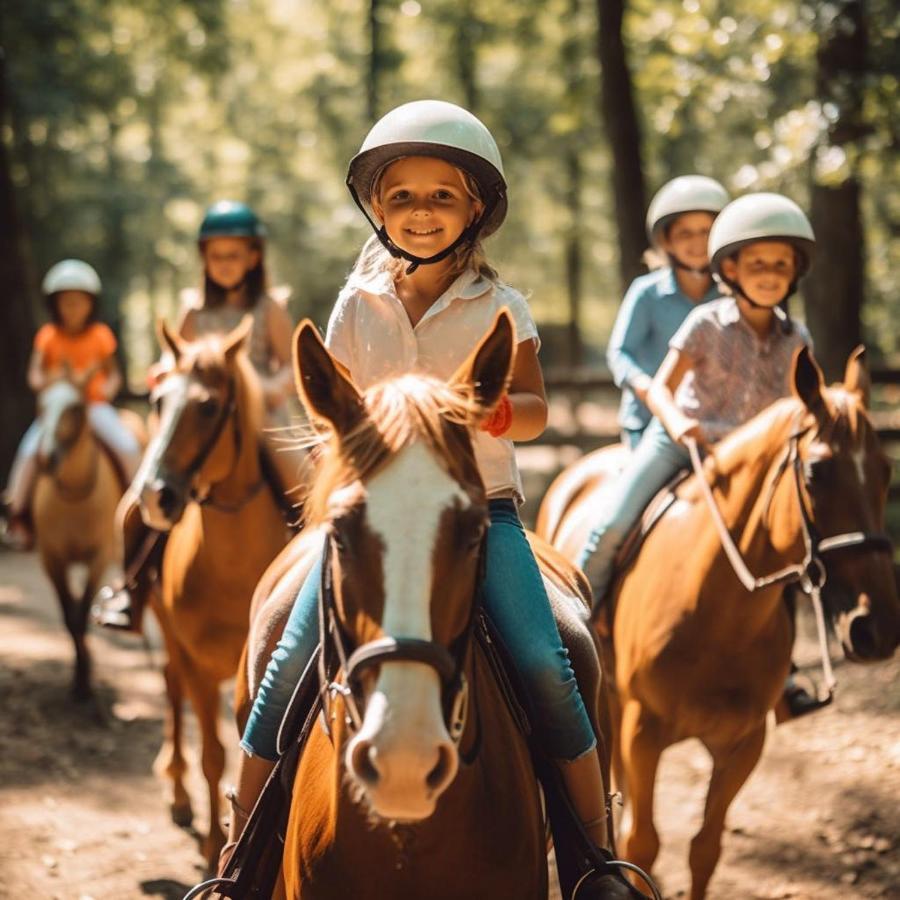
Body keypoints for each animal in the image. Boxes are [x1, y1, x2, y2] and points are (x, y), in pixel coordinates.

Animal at [31, 370, 145, 700]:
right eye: (41, 404)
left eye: (75, 409)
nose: (47, 458)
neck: (74, 498)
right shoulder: (51, 558)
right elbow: (70, 617)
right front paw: (81, 672)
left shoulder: (99, 557)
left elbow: (81, 613)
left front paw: (84, 681)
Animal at [134, 318, 290, 864]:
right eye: (158, 401)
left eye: (207, 407)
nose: (155, 497)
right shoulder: (199, 664)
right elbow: (213, 755)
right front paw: (207, 842)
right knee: (170, 686)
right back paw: (179, 793)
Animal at [536, 346, 900, 900]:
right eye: (817, 472)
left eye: (884, 471)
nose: (875, 628)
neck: (717, 614)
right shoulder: (643, 731)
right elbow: (643, 841)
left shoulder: (744, 743)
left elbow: (705, 847)